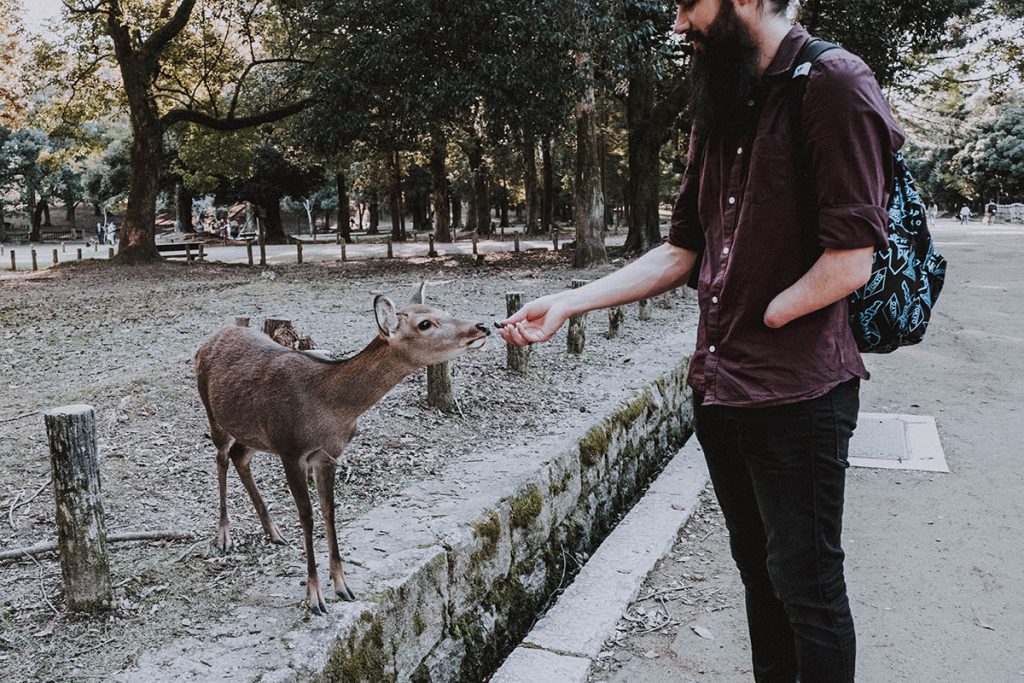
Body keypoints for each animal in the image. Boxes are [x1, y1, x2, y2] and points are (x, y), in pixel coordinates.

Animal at [196, 282, 495, 614]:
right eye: (425, 324)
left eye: (443, 310)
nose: (482, 326)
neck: (329, 409)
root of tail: (209, 339)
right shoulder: (291, 450)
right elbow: (307, 516)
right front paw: (315, 598)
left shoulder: (328, 455)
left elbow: (330, 511)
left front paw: (342, 585)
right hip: (214, 413)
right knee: (221, 457)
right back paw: (224, 536)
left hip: (254, 433)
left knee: (239, 456)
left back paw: (274, 533)